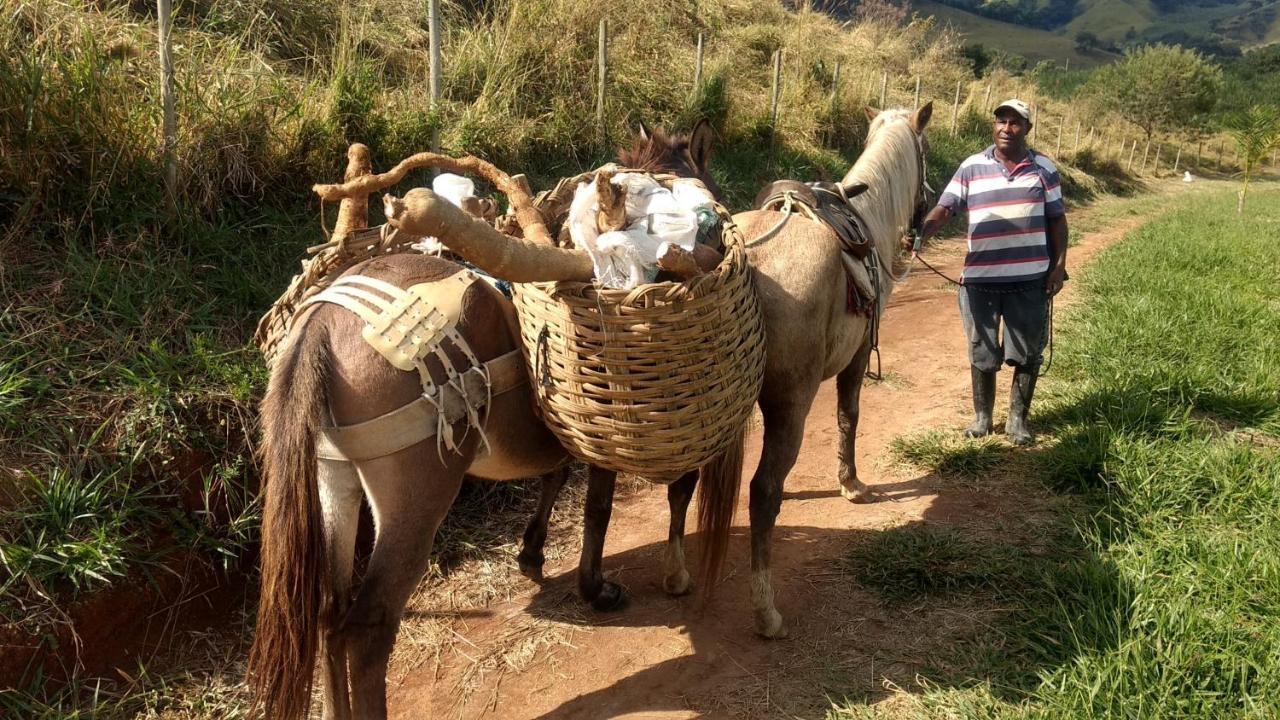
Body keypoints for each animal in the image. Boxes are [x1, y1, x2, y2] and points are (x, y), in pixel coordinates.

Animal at [247, 120, 732, 712]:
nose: (714, 230)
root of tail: (322, 321)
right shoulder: (610, 429)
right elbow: (603, 507)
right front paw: (599, 588)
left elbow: (556, 476)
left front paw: (532, 553)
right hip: (415, 499)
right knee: (366, 630)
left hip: (332, 477)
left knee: (328, 616)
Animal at [737, 105, 936, 632]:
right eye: (926, 152)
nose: (928, 205)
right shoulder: (858, 358)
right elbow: (849, 417)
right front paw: (852, 485)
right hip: (790, 404)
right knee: (763, 491)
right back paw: (765, 610)